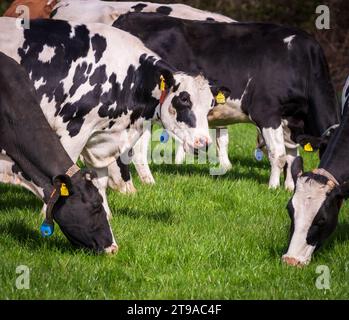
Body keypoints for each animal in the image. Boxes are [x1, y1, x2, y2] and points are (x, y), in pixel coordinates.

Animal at [0, 16, 212, 218]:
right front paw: (47, 214)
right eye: (184, 100)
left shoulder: (99, 139)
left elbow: (100, 181)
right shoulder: (73, 130)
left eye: (210, 105)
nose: (204, 142)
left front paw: (106, 213)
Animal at [112, 13, 340, 192]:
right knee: (137, 148)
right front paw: (273, 187)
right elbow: (279, 154)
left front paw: (290, 188)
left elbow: (294, 156)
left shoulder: (290, 121)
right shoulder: (267, 112)